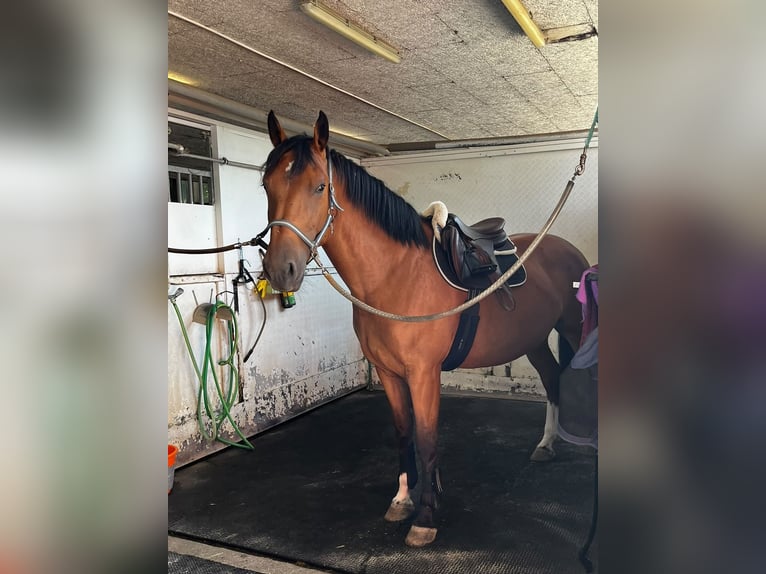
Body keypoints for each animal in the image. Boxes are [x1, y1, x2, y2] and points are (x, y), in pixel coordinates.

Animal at [260, 110, 590, 548]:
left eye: (319, 187)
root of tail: (568, 249)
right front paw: (403, 500)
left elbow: (428, 436)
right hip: (534, 338)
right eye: (267, 185)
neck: (395, 276)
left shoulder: (423, 373)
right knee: (552, 378)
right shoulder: (389, 372)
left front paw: (426, 517)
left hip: (574, 328)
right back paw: (546, 444)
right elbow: (404, 432)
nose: (282, 270)